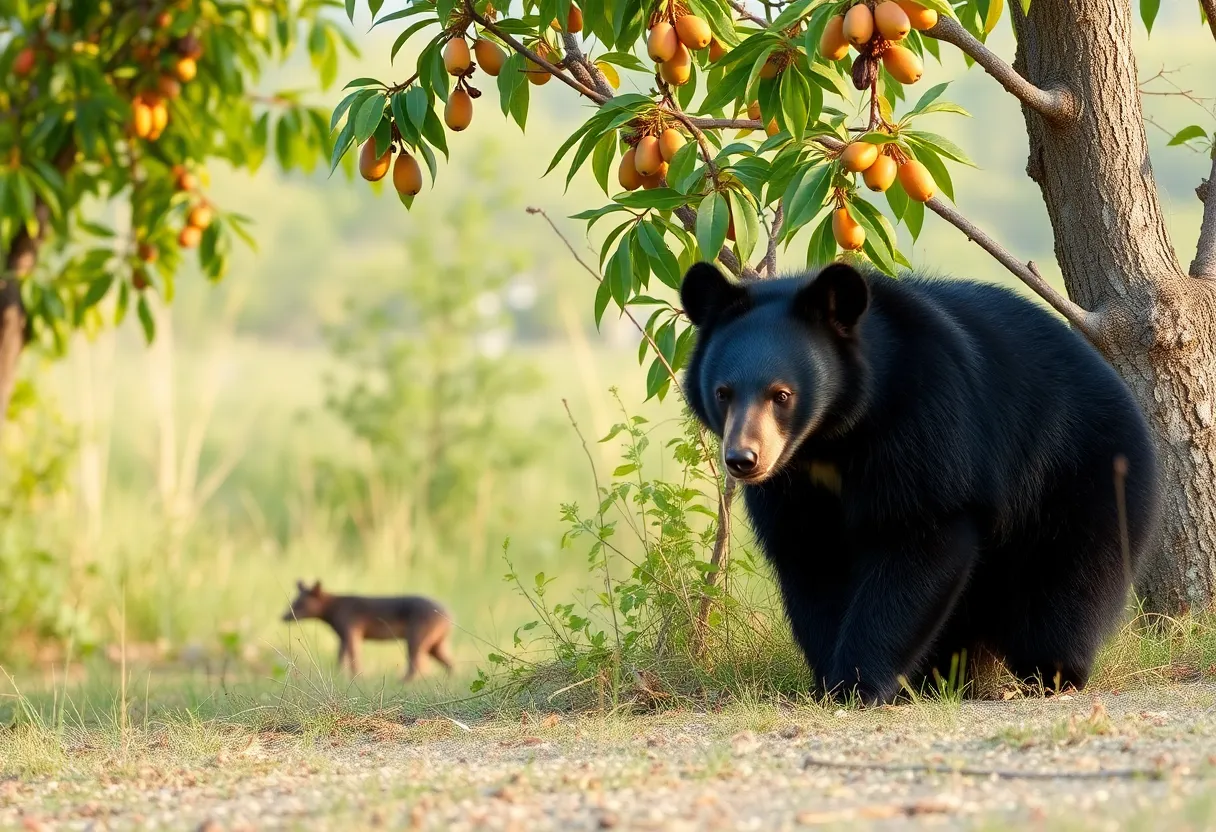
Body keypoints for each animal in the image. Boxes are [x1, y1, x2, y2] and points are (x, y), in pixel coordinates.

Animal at [680, 260, 1160, 704]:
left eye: (782, 395)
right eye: (723, 393)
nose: (743, 460)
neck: (831, 440)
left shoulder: (926, 420)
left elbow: (919, 535)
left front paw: (857, 684)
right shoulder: (792, 485)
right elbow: (811, 557)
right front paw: (828, 681)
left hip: (1077, 471)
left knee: (1067, 583)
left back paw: (1050, 672)